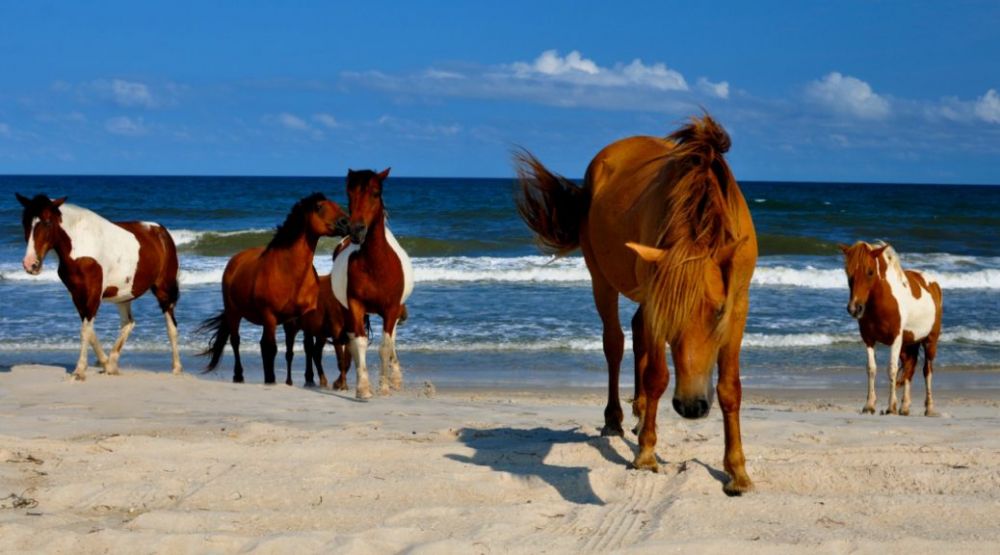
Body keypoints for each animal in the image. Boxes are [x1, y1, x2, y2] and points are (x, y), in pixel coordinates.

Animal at [15, 193, 184, 380]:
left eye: (47, 222)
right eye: (25, 222)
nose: (30, 264)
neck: (80, 245)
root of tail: (162, 231)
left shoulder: (93, 294)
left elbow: (85, 331)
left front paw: (80, 371)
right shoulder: (78, 295)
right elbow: (90, 331)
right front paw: (105, 364)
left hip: (164, 290)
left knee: (171, 327)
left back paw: (176, 368)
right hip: (123, 295)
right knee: (128, 323)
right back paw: (113, 363)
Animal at [197, 193, 350, 384]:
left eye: (336, 205)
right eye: (319, 207)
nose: (346, 223)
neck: (289, 271)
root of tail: (234, 261)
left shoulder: (303, 315)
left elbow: (306, 347)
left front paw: (309, 379)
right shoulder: (269, 315)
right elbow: (271, 348)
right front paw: (271, 379)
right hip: (234, 312)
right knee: (236, 341)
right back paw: (240, 375)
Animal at [332, 169, 414, 400]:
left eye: (376, 193)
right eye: (349, 194)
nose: (356, 230)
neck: (377, 265)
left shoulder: (391, 308)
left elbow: (385, 346)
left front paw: (384, 387)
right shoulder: (355, 305)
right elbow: (358, 342)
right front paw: (363, 388)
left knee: (392, 339)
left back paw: (395, 379)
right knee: (352, 340)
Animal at [516, 114, 756, 496]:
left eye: (718, 312)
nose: (691, 406)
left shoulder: (738, 305)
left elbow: (730, 388)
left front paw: (737, 472)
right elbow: (656, 375)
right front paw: (645, 454)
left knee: (638, 332)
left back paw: (642, 412)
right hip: (601, 279)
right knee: (615, 343)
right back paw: (615, 419)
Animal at [840, 242, 940, 416]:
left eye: (870, 272)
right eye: (848, 272)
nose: (854, 308)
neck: (883, 301)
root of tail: (933, 283)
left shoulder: (896, 339)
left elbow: (892, 369)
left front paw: (891, 406)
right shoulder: (868, 339)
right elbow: (871, 369)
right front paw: (869, 405)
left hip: (930, 341)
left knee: (927, 371)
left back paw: (929, 408)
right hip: (908, 345)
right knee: (909, 369)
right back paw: (905, 407)